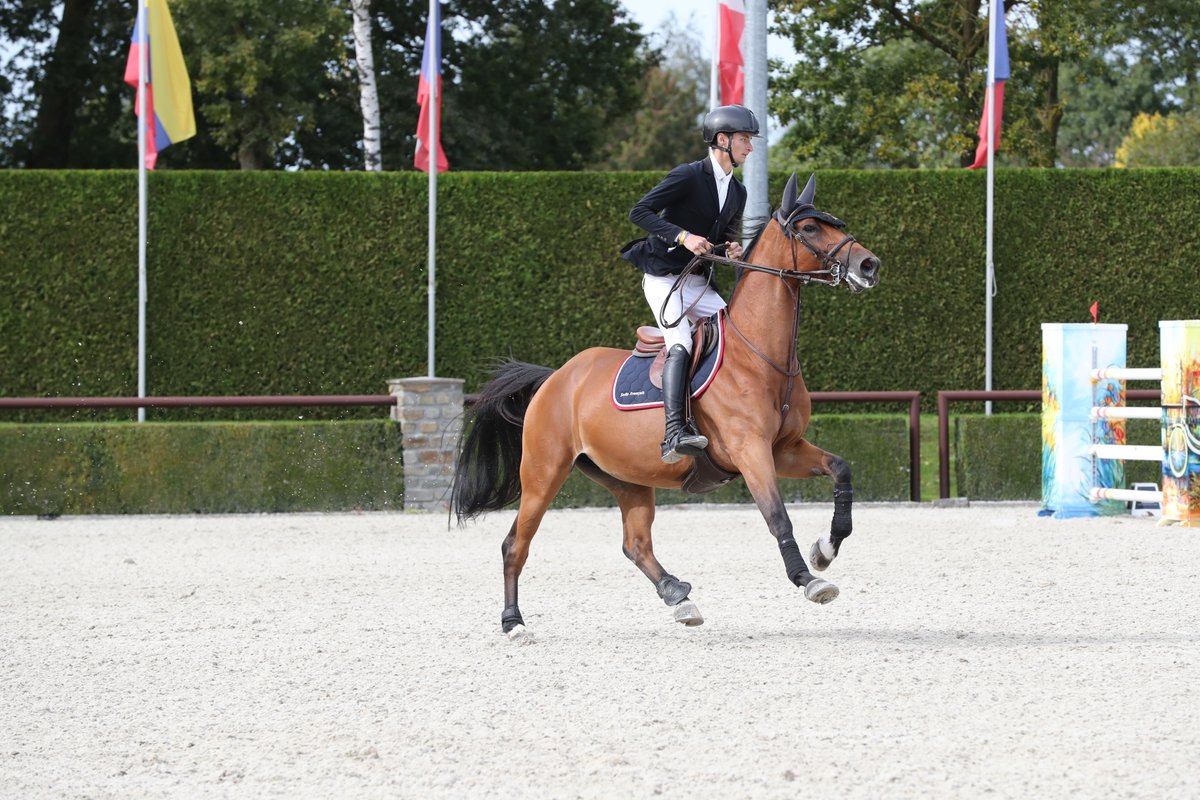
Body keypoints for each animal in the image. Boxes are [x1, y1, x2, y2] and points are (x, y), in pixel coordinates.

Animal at [451, 173, 882, 640]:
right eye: (809, 228)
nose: (869, 266)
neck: (762, 354)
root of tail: (556, 378)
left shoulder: (784, 449)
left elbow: (841, 469)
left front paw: (825, 550)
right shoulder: (751, 451)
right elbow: (777, 517)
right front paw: (809, 579)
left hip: (627, 478)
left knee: (635, 544)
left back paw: (680, 597)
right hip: (543, 472)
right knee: (516, 544)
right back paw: (514, 623)